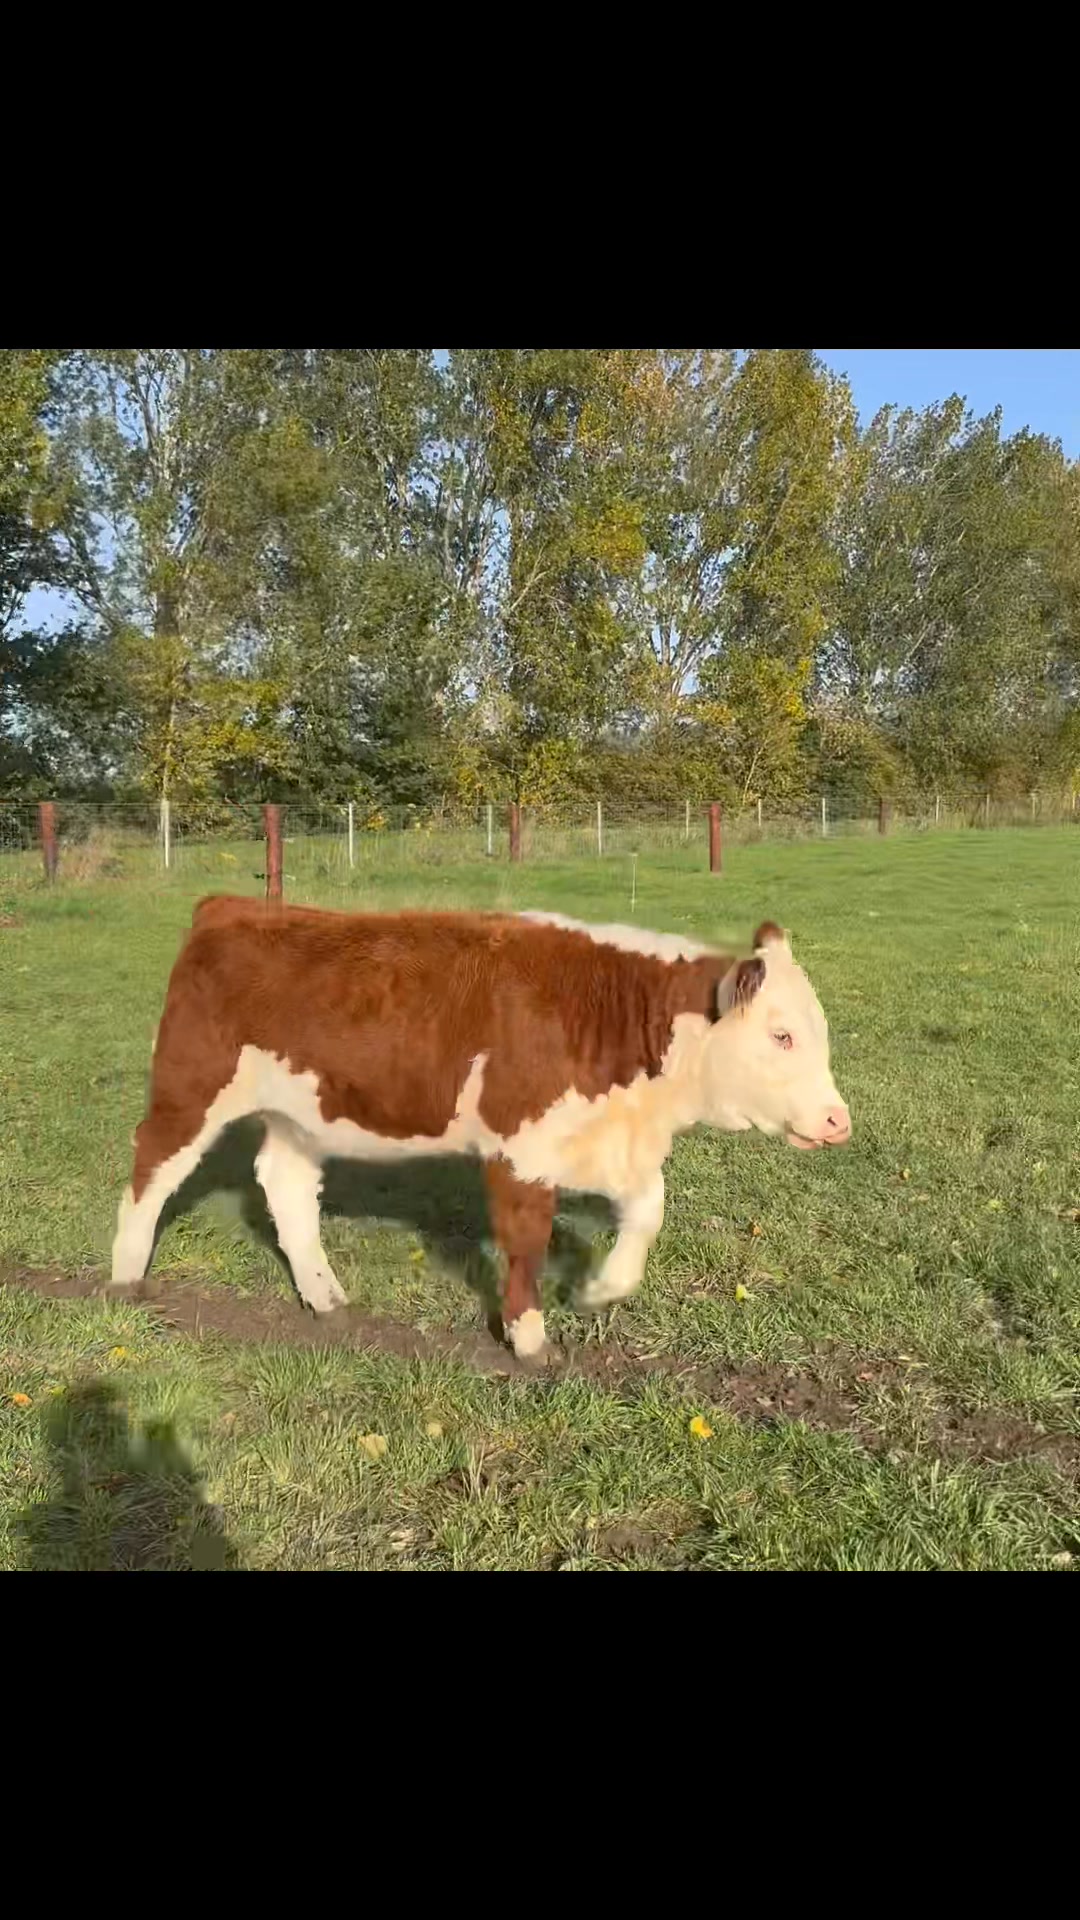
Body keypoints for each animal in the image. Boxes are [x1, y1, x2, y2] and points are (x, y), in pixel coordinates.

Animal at [110, 897, 850, 1359]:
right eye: (781, 1035)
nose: (838, 1121)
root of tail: (233, 907)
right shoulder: (519, 1146)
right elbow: (525, 1239)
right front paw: (528, 1339)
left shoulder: (605, 1141)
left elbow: (647, 1210)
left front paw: (601, 1289)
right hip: (190, 1087)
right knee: (151, 1167)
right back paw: (124, 1278)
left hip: (300, 1115)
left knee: (285, 1186)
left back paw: (324, 1297)